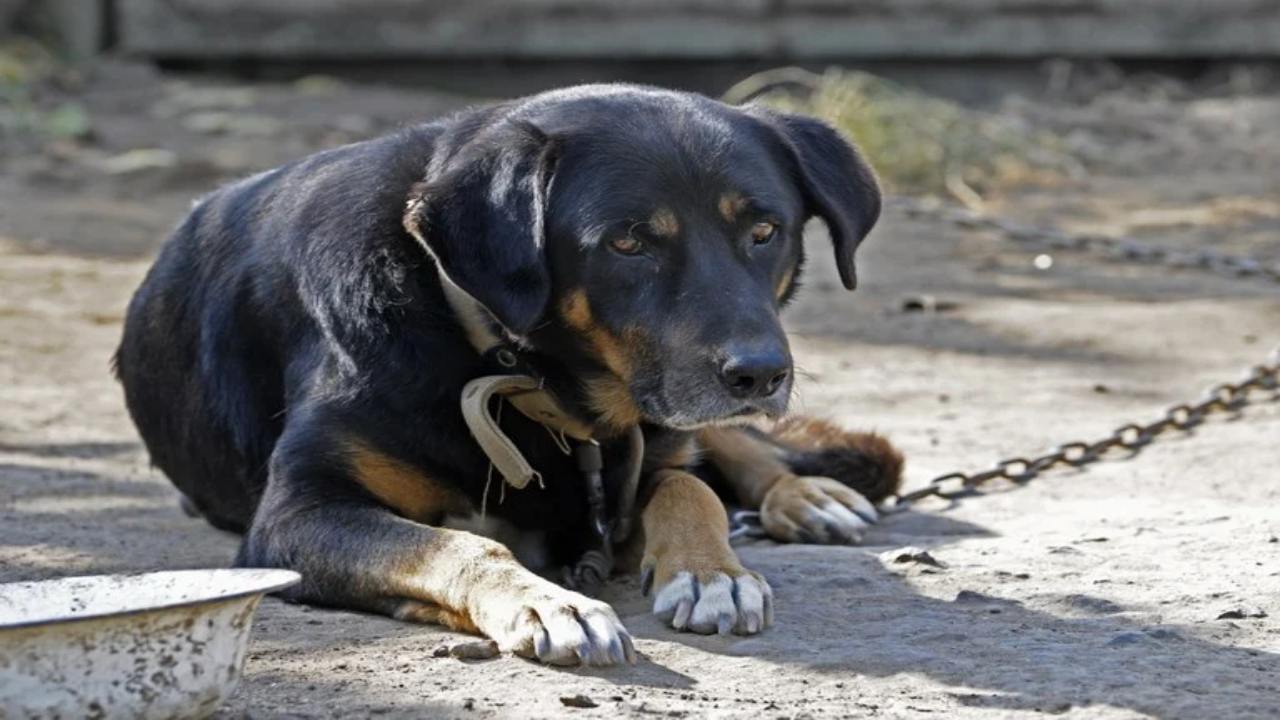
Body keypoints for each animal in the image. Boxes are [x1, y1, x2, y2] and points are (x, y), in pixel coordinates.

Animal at [115, 85, 906, 666]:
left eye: (765, 232)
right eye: (627, 243)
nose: (760, 375)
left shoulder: (642, 453)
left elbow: (688, 487)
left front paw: (717, 573)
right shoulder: (297, 514)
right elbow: (456, 542)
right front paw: (546, 600)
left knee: (729, 448)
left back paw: (804, 493)